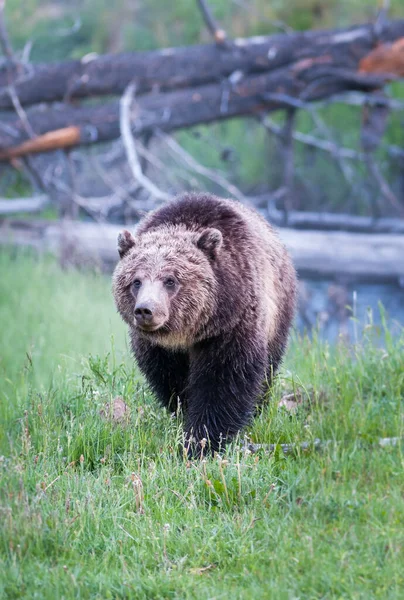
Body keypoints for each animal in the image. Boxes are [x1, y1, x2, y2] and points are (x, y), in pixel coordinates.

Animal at [113, 192, 296, 454]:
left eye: (170, 280)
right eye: (136, 281)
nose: (146, 310)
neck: (187, 333)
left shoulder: (231, 325)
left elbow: (224, 381)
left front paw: (202, 440)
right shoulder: (158, 349)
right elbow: (172, 380)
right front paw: (185, 417)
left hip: (278, 310)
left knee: (268, 368)